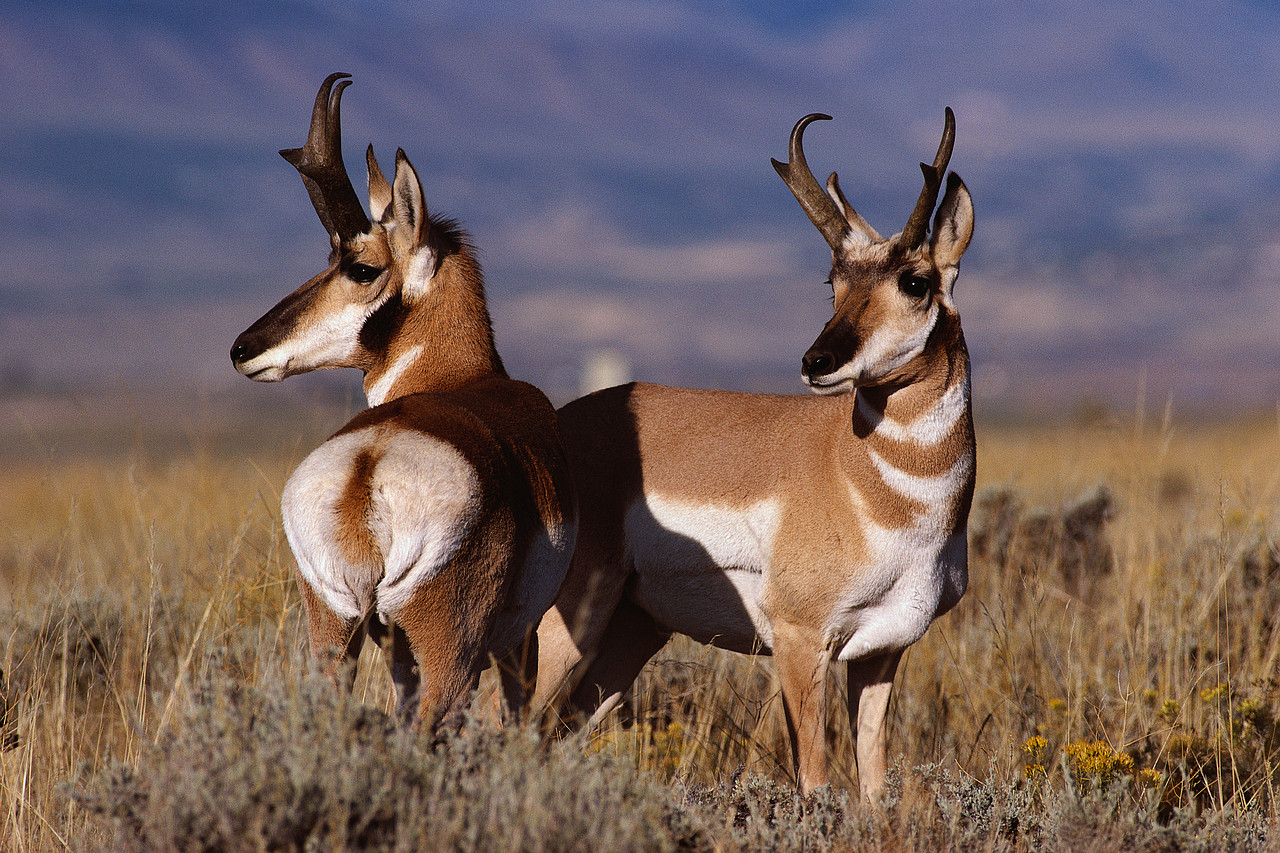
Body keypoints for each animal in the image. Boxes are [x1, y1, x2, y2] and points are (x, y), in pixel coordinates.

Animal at [230, 73, 576, 727]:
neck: (458, 377)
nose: (243, 348)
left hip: (337, 635)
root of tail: (369, 466)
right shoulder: (520, 640)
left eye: (359, 267)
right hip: (449, 655)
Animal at [535, 109, 972, 794]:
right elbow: (814, 779)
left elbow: (873, 783)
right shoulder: (800, 640)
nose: (817, 362)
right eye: (833, 282)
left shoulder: (883, 651)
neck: (878, 488)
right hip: (565, 621)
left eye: (915, 281)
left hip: (629, 634)